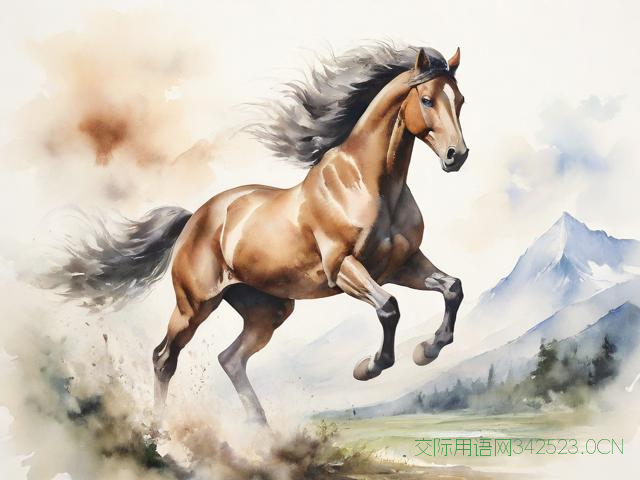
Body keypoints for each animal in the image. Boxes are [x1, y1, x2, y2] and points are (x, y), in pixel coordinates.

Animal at [45, 44, 468, 425]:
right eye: (427, 100)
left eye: (460, 100)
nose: (457, 156)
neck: (369, 183)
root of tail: (195, 218)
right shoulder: (345, 268)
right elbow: (389, 307)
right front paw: (369, 366)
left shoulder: (401, 264)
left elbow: (452, 288)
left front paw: (428, 350)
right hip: (194, 306)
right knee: (164, 358)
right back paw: (162, 430)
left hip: (267, 309)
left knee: (230, 359)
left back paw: (258, 428)